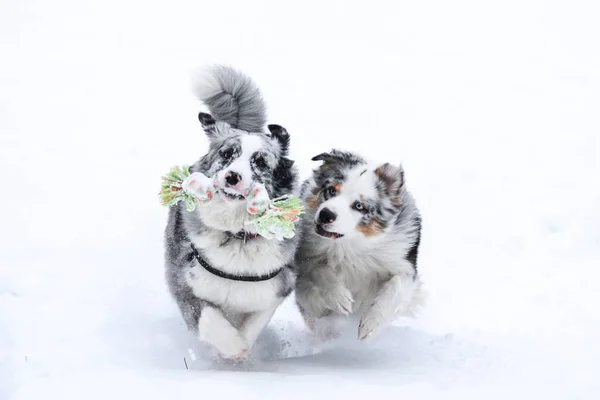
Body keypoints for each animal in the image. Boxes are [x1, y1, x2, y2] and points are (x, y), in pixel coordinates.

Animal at [164, 64, 298, 360]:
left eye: (260, 161)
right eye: (227, 154)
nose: (232, 176)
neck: (237, 235)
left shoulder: (276, 285)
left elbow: (255, 323)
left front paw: (243, 349)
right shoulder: (185, 281)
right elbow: (209, 319)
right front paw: (231, 348)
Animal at [294, 149, 424, 340]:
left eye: (359, 206)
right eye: (331, 190)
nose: (325, 214)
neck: (351, 245)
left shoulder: (402, 263)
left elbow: (396, 285)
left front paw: (370, 325)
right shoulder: (307, 256)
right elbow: (319, 270)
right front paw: (339, 299)